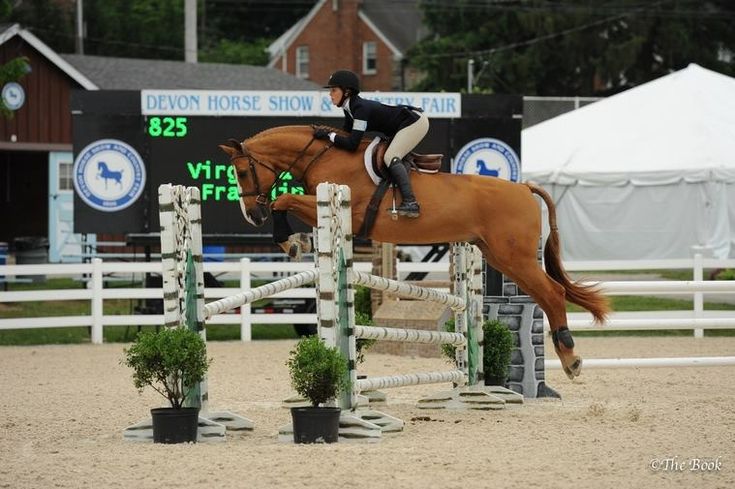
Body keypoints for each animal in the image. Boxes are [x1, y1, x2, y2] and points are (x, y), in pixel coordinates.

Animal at [218, 125, 608, 378]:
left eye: (241, 172)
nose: (251, 216)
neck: (323, 157)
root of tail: (524, 188)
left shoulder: (345, 211)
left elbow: (283, 199)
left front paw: (289, 241)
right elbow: (285, 201)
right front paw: (295, 241)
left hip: (515, 257)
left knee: (552, 293)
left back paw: (570, 358)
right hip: (499, 255)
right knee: (545, 294)